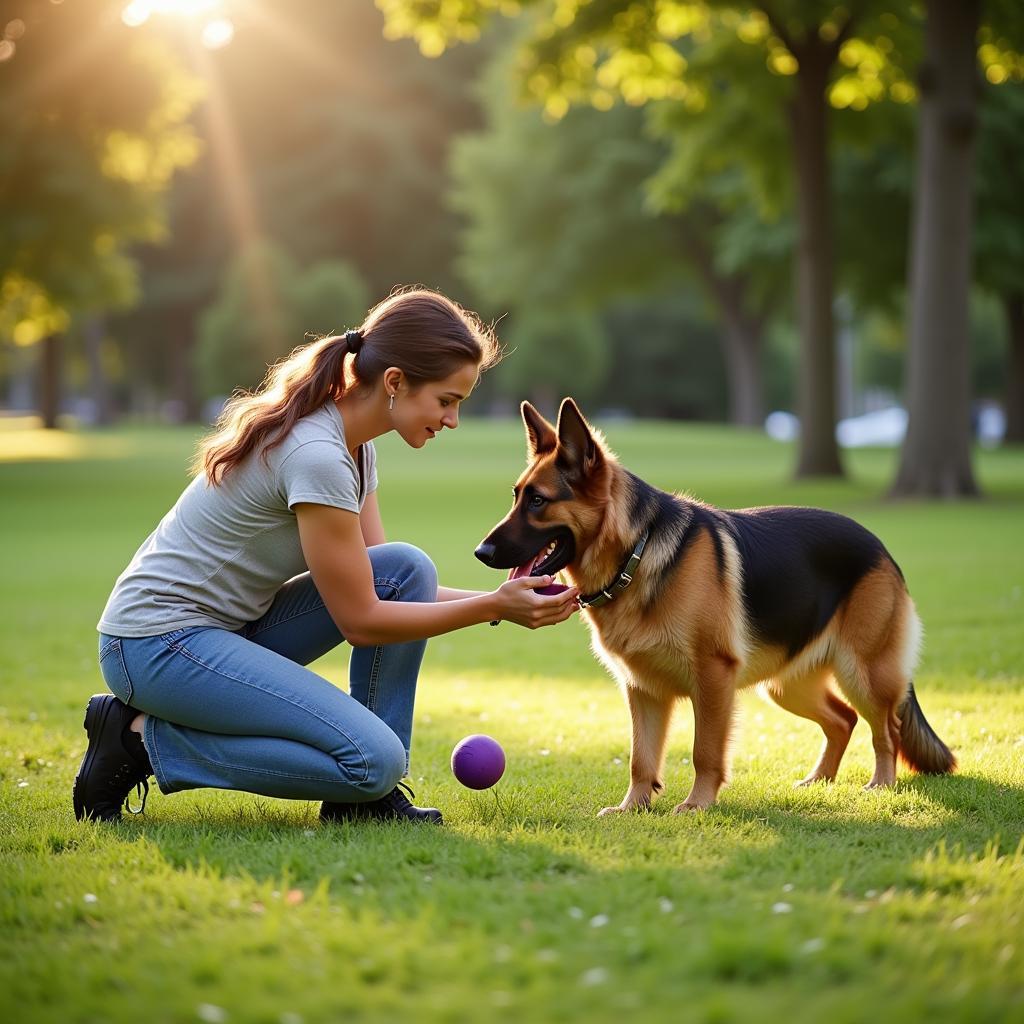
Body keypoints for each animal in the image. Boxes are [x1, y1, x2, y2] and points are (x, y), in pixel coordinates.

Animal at [475, 399, 954, 815]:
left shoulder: (712, 679)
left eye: (538, 501)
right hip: (786, 685)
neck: (637, 553)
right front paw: (633, 808)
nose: (481, 552)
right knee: (844, 720)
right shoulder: (642, 690)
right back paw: (820, 780)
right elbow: (640, 758)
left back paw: (881, 784)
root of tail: (879, 546)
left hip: (864, 673)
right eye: (517, 496)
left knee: (887, 729)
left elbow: (703, 751)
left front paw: (696, 805)